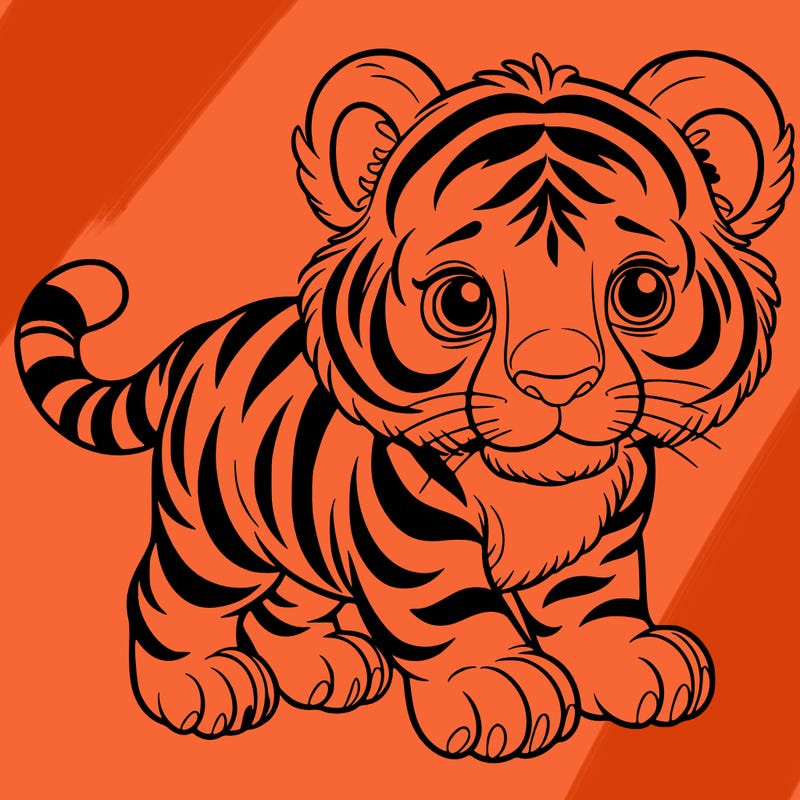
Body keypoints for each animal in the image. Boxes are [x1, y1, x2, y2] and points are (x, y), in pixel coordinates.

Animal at [15, 49, 792, 761]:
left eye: (640, 292)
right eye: (463, 301)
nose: (558, 379)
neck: (535, 490)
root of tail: (198, 339)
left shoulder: (606, 533)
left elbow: (594, 600)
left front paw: (636, 657)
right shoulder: (410, 537)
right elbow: (452, 613)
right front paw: (501, 687)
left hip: (300, 543)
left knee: (280, 610)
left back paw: (326, 666)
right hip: (215, 531)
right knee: (165, 595)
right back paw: (202, 683)